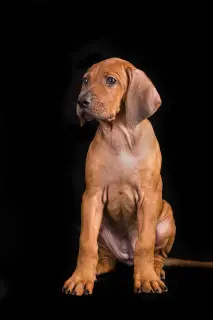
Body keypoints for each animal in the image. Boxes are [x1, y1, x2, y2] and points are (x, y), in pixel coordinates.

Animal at [62, 58, 213, 298]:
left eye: (111, 80)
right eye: (85, 80)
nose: (81, 101)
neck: (119, 134)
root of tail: (126, 257)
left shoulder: (148, 198)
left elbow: (145, 244)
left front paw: (147, 279)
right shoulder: (92, 197)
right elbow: (86, 243)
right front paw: (80, 278)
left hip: (166, 217)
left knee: (157, 255)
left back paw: (156, 270)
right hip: (100, 227)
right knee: (106, 256)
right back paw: (97, 268)